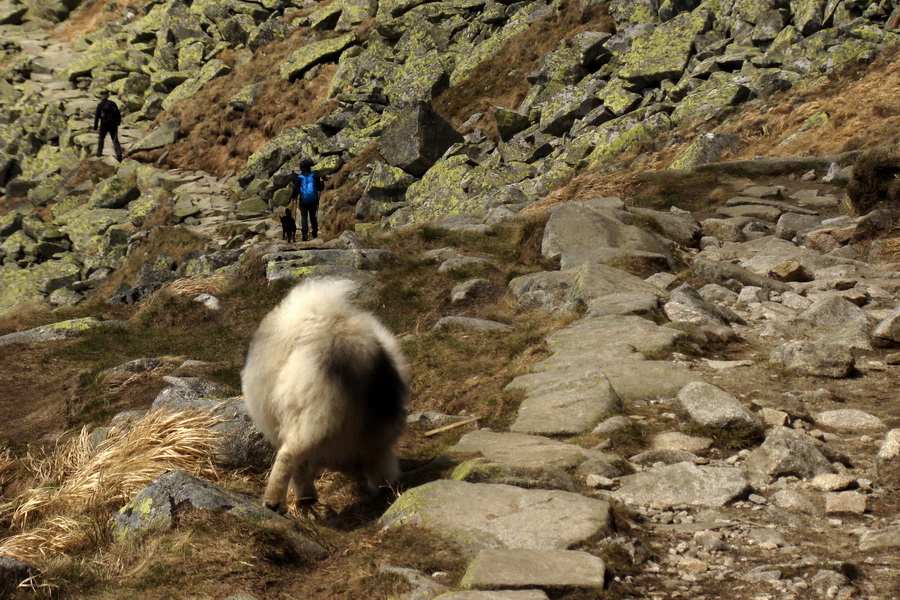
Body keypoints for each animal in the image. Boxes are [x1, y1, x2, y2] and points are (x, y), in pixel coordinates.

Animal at [239, 278, 408, 512]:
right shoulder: (376, 442)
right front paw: (385, 486)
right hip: (314, 413)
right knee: (289, 455)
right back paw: (275, 501)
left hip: (276, 409)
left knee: (293, 457)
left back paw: (303, 498)